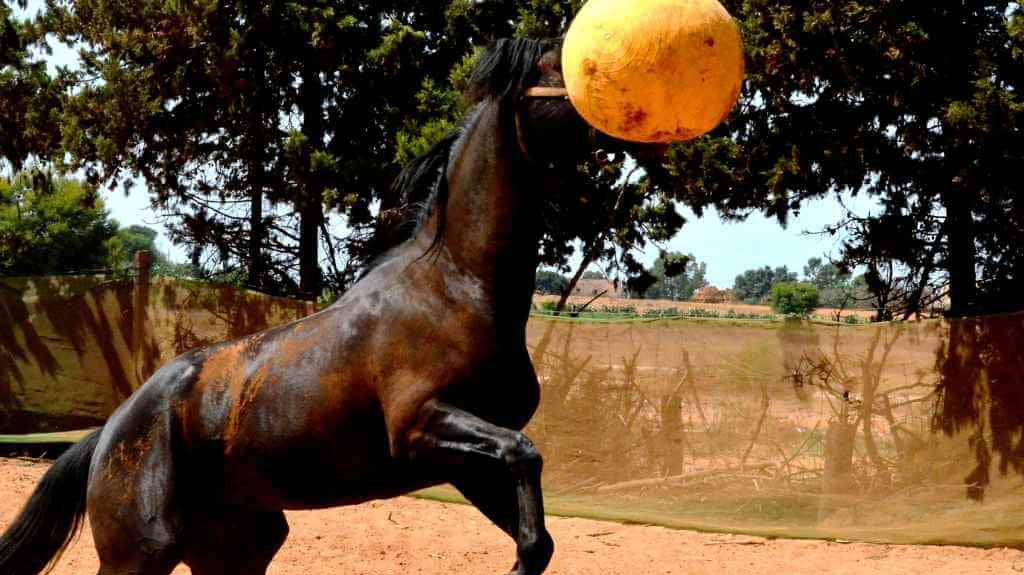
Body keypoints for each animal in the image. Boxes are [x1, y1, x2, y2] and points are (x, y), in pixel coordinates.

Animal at [0, 37, 644, 575]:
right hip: (138, 555)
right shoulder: (422, 427)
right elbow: (525, 458)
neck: (456, 288)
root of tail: (107, 434)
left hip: (239, 547)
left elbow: (538, 536)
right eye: (562, 68)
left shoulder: (464, 463)